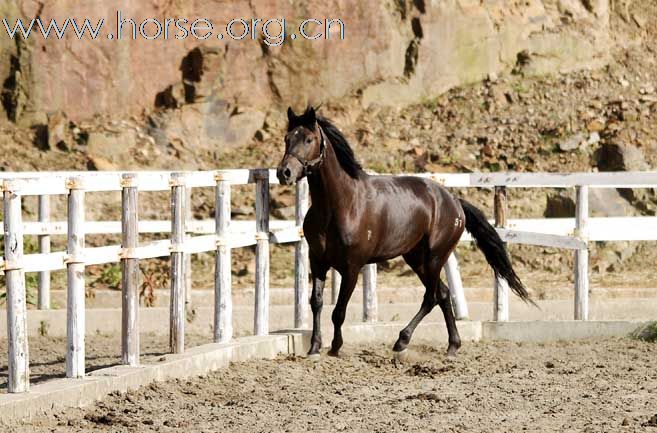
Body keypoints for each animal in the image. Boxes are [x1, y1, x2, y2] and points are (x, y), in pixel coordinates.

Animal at [274, 107, 532, 358]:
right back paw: (451, 347)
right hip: (416, 259)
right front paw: (314, 348)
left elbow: (338, 311)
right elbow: (316, 303)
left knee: (431, 297)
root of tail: (455, 202)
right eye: (287, 138)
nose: (283, 173)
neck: (341, 205)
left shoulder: (352, 267)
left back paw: (402, 341)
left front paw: (335, 348)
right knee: (443, 294)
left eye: (309, 139)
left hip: (435, 257)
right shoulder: (317, 261)